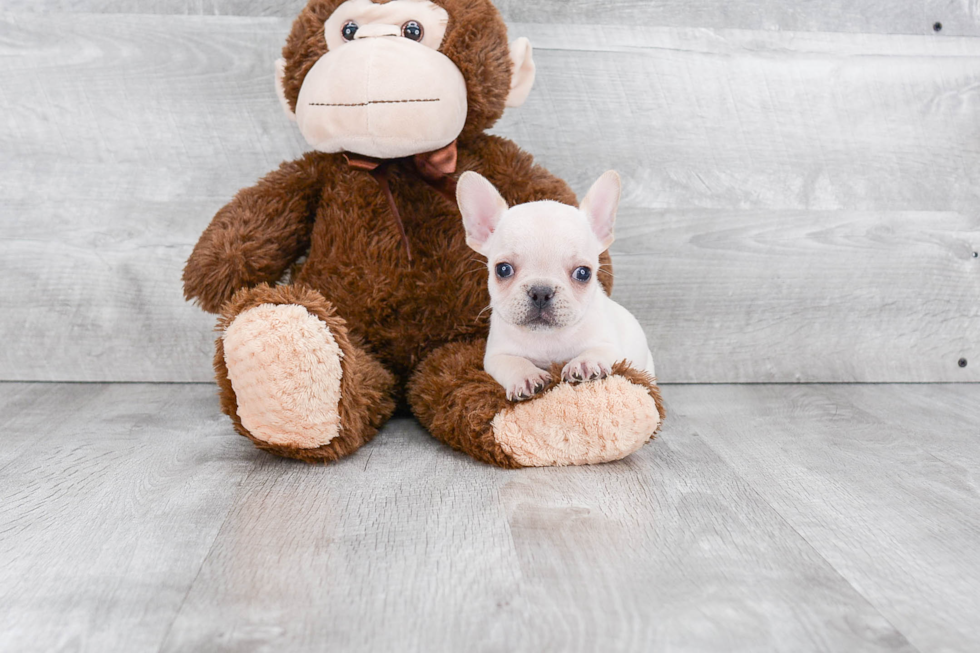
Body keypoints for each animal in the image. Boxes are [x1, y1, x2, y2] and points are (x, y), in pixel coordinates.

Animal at [456, 171, 656, 400]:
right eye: (503, 269)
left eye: (583, 273)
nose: (541, 292)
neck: (547, 338)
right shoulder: (496, 355)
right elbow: (514, 362)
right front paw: (526, 377)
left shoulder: (610, 345)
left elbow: (598, 350)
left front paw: (585, 363)